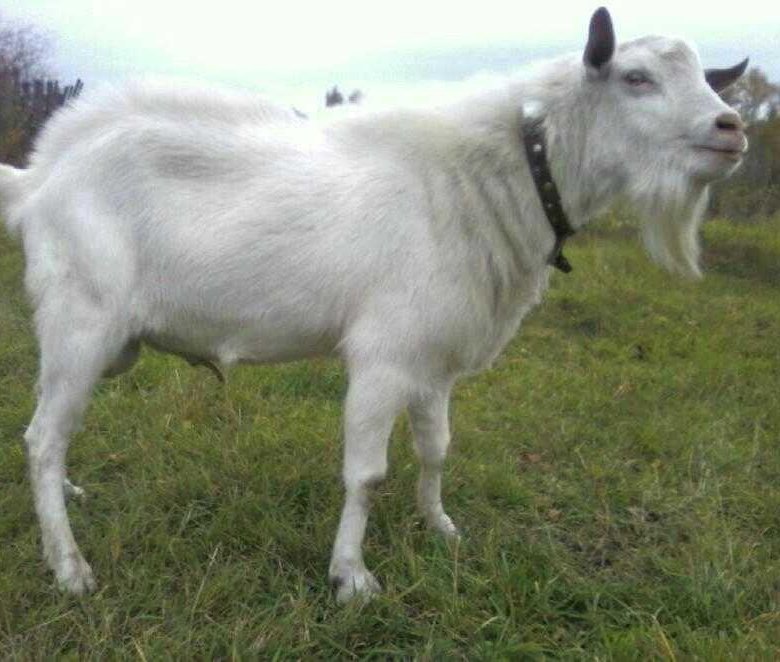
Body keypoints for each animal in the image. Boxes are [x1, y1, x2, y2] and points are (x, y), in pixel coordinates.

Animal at [0, 7, 748, 604]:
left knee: (49, 429)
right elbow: (366, 474)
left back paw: (67, 498)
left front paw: (440, 526)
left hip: (100, 342)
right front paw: (351, 579)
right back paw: (69, 568)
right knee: (42, 439)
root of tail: (40, 178)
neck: (481, 180)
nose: (732, 126)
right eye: (636, 78)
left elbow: (436, 448)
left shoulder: (434, 356)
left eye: (710, 80)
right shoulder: (384, 357)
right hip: (84, 319)